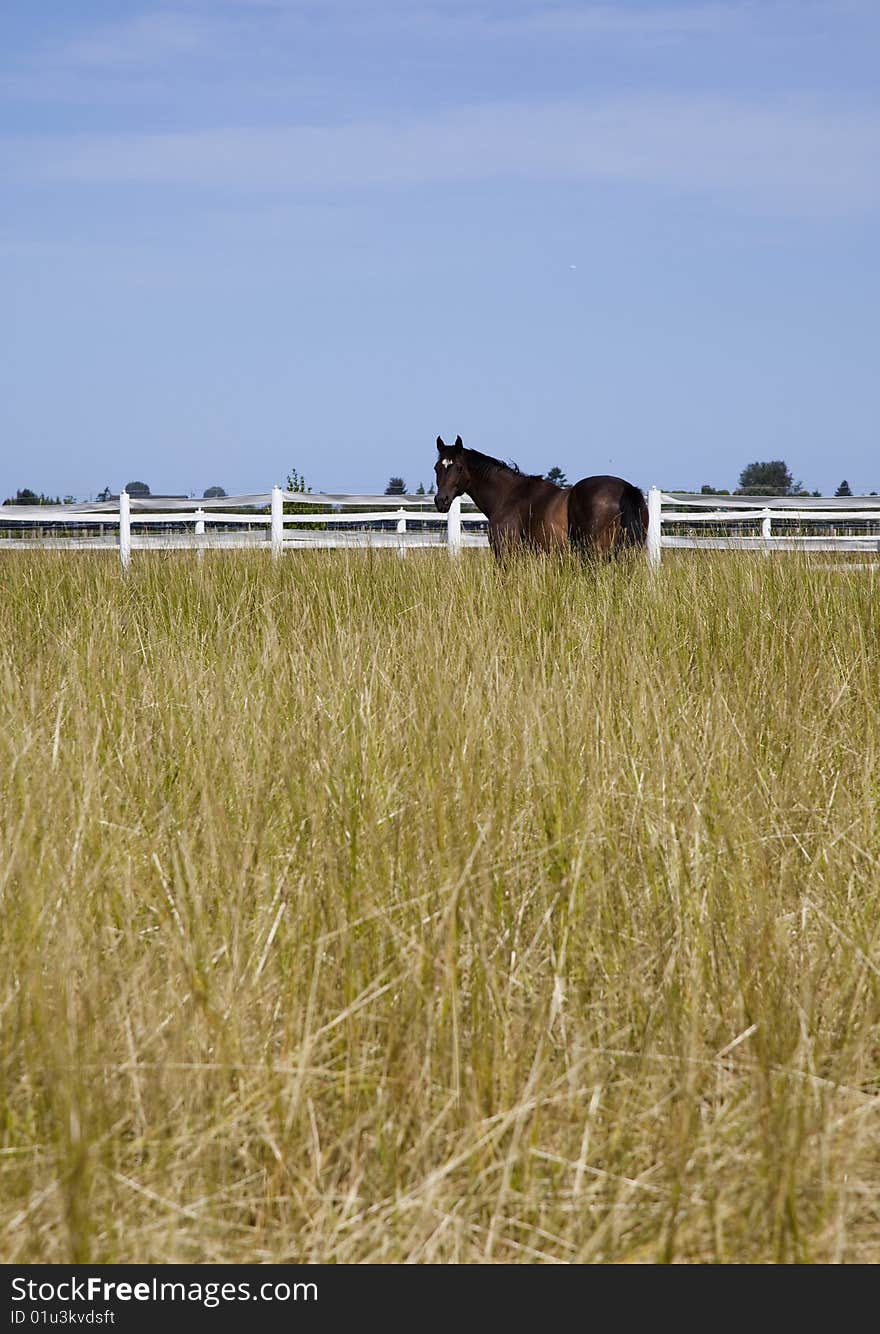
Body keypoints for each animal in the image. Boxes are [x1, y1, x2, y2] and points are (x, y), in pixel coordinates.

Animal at [432, 437, 645, 557]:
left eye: (459, 467)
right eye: (436, 468)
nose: (441, 500)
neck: (508, 496)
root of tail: (627, 488)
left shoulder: (506, 555)